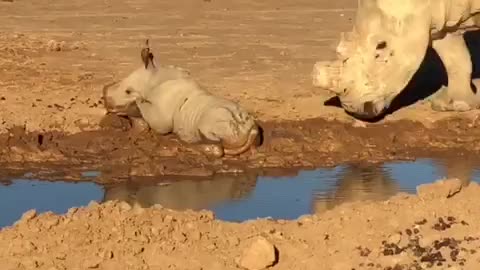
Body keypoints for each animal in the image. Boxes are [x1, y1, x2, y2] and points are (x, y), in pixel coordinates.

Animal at [102, 40, 260, 157]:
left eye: (128, 91)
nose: (105, 100)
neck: (155, 78)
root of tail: (249, 130)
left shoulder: (161, 118)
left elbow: (148, 113)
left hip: (223, 121)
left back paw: (181, 145)